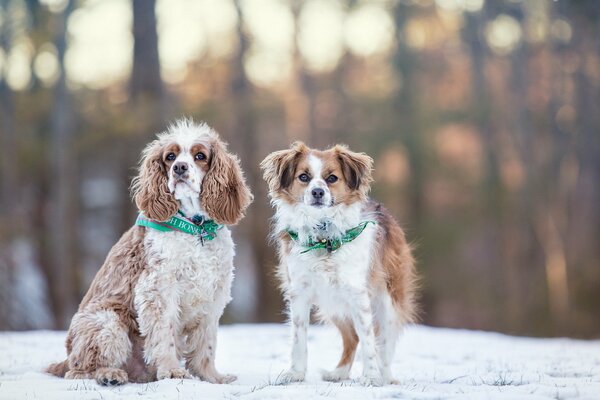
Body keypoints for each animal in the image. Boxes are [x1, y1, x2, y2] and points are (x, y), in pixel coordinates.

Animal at [47, 118, 252, 384]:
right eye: (170, 156)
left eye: (200, 155)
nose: (179, 168)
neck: (195, 227)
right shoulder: (159, 288)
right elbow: (164, 335)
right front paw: (172, 370)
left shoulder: (213, 292)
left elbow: (205, 345)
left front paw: (211, 377)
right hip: (107, 321)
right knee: (80, 370)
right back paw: (110, 374)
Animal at [262, 142, 418, 386]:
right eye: (303, 177)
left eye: (332, 178)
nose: (318, 192)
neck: (323, 237)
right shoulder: (300, 293)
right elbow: (299, 337)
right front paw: (296, 374)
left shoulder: (357, 294)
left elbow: (369, 340)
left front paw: (371, 377)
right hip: (332, 303)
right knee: (351, 337)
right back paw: (340, 373)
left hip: (389, 301)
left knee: (383, 343)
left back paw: (385, 376)